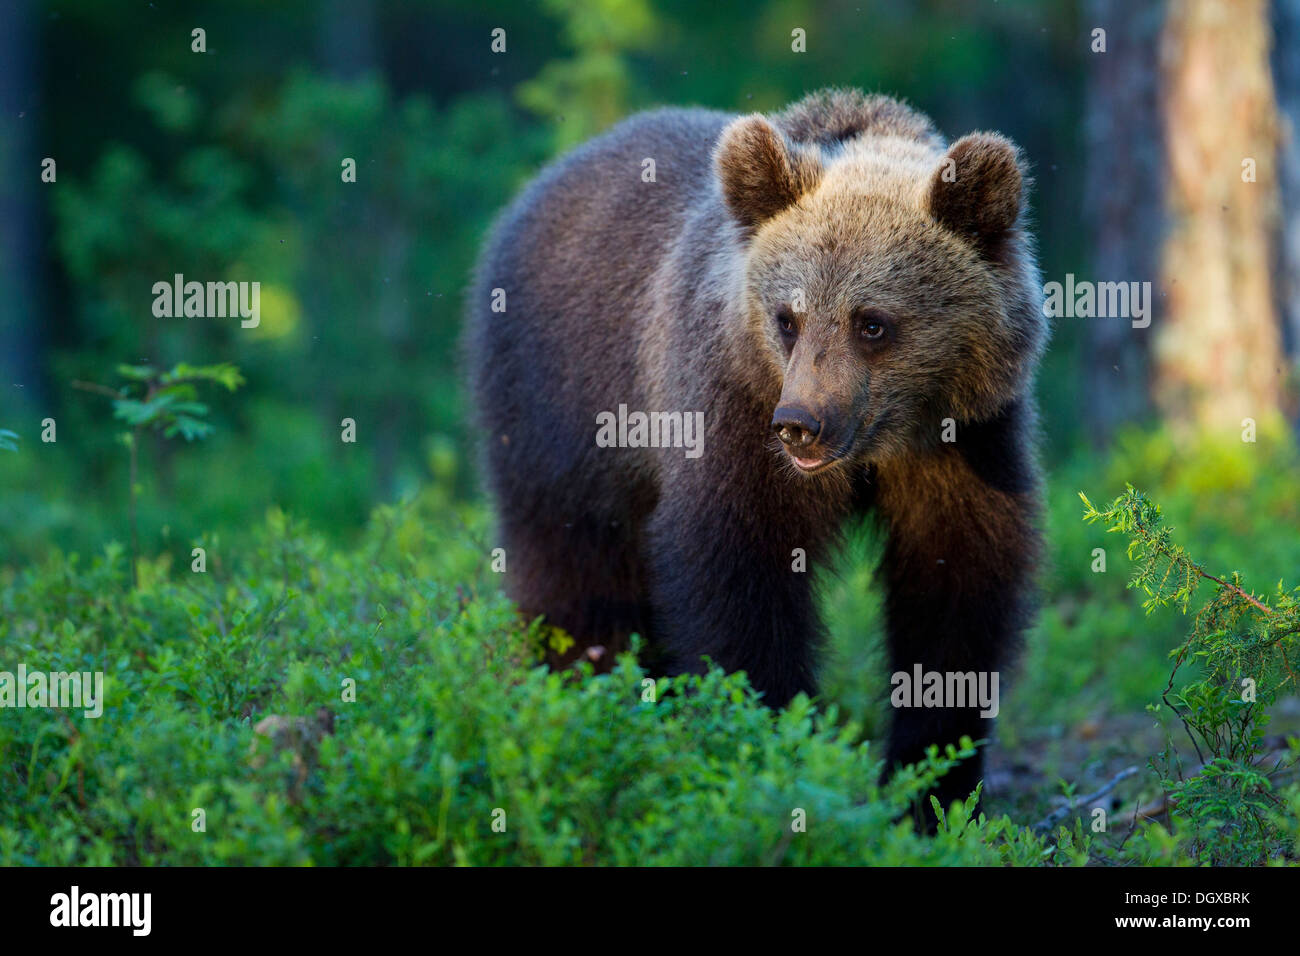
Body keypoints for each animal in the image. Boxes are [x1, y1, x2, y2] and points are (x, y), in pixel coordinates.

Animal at [467, 91, 1045, 822]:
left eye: (872, 322)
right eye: (786, 318)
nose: (802, 426)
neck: (882, 445)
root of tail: (543, 180)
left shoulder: (966, 441)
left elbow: (957, 585)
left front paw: (931, 787)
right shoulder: (731, 410)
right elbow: (738, 572)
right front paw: (763, 748)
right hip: (561, 410)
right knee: (574, 568)